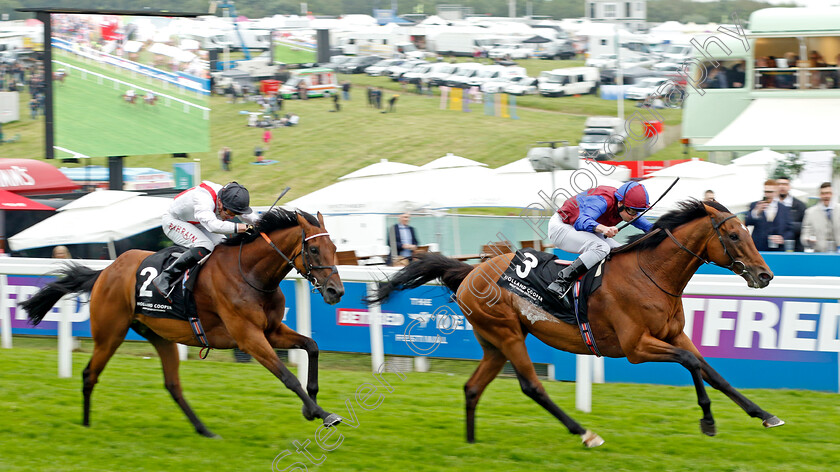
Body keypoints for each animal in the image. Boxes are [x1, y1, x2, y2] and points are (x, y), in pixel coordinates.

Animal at [21, 208, 346, 436]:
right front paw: (322, 413)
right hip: (110, 333)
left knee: (172, 384)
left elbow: (312, 346)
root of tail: (105, 271)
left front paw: (312, 406)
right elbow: (287, 376)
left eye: (335, 249)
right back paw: (87, 425)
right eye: (313, 250)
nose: (336, 291)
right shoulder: (248, 337)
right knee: (90, 374)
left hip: (158, 335)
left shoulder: (272, 330)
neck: (250, 273)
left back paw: (205, 430)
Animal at [370, 199, 784, 446]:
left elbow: (709, 370)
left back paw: (471, 443)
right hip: (507, 334)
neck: (650, 274)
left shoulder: (675, 334)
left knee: (472, 388)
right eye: (734, 235)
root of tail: (471, 270)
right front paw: (709, 420)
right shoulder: (636, 347)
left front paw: (763, 415)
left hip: (494, 342)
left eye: (748, 232)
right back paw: (584, 432)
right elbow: (692, 363)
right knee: (532, 386)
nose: (765, 275)